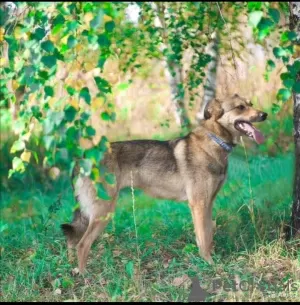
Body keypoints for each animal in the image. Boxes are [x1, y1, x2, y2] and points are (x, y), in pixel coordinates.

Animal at [61, 94, 268, 272]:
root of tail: (82, 159)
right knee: (82, 245)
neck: (214, 141)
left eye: (250, 103)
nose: (264, 115)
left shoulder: (207, 204)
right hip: (103, 212)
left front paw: (211, 259)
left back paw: (72, 270)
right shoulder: (199, 204)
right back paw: (84, 276)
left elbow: (207, 236)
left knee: (71, 241)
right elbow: (204, 237)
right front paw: (209, 264)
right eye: (240, 107)